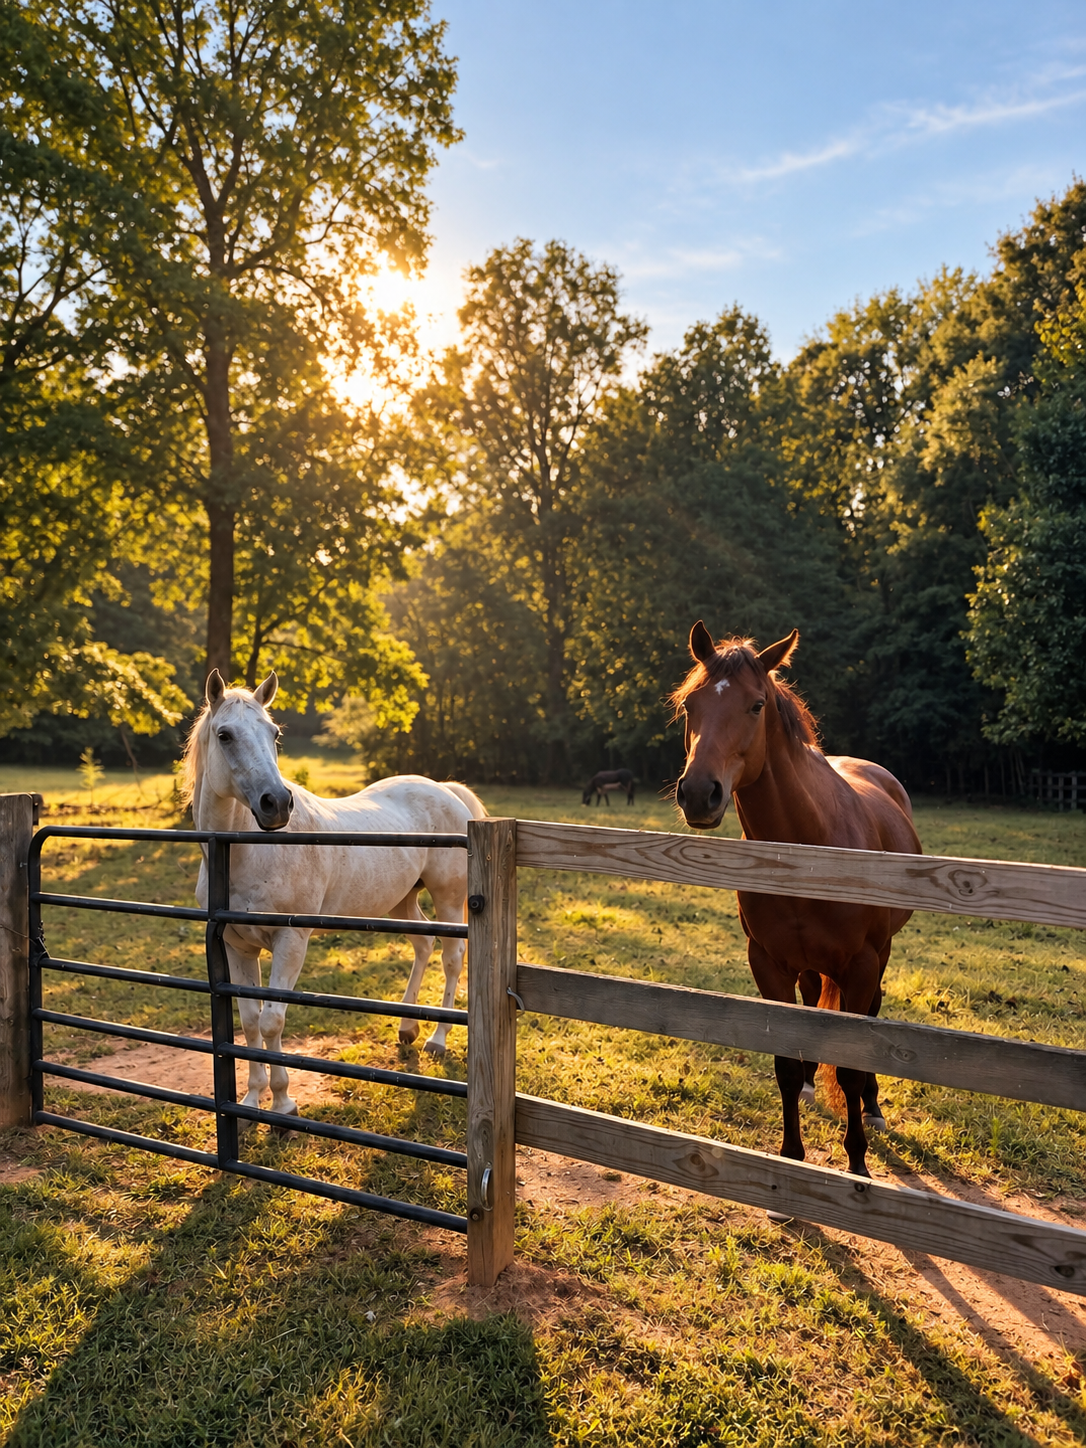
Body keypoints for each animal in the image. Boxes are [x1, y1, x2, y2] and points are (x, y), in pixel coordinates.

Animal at [180, 669, 487, 1122]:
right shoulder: (238, 947)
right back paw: (407, 1029)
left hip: (448, 898)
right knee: (423, 943)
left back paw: (437, 1039)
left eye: (273, 733)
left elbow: (272, 1021)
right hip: (401, 901)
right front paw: (252, 1101)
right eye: (225, 735)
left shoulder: (291, 942)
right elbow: (250, 1020)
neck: (242, 851)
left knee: (451, 956)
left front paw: (284, 1105)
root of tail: (445, 790)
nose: (277, 804)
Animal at [671, 622, 920, 1179]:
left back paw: (872, 1108)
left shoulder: (860, 964)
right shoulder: (768, 962)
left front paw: (857, 1165)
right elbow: (784, 1063)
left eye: (756, 705)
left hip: (880, 956)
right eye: (690, 705)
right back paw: (811, 1083)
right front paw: (791, 1158)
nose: (698, 793)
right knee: (811, 1008)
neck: (806, 849)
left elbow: (850, 1066)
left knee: (873, 1015)